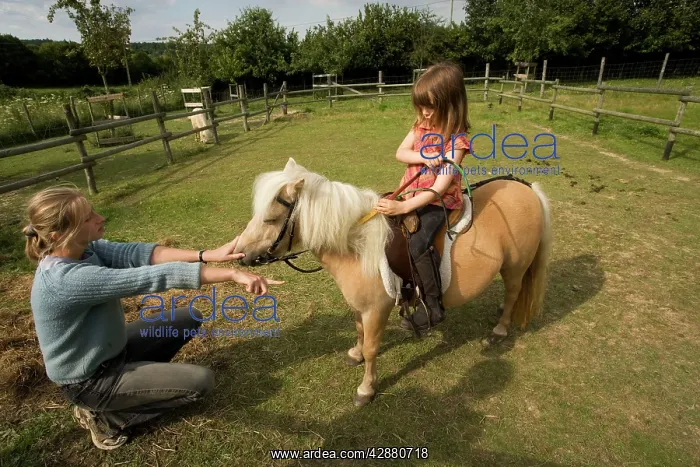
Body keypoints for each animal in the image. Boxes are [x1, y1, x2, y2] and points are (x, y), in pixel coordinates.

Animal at [234, 158, 553, 407]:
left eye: (271, 218)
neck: (357, 244)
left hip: (515, 266)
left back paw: (500, 328)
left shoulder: (377, 309)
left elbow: (373, 348)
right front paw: (355, 354)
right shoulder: (360, 308)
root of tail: (528, 189)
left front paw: (366, 389)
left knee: (513, 292)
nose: (241, 254)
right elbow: (359, 333)